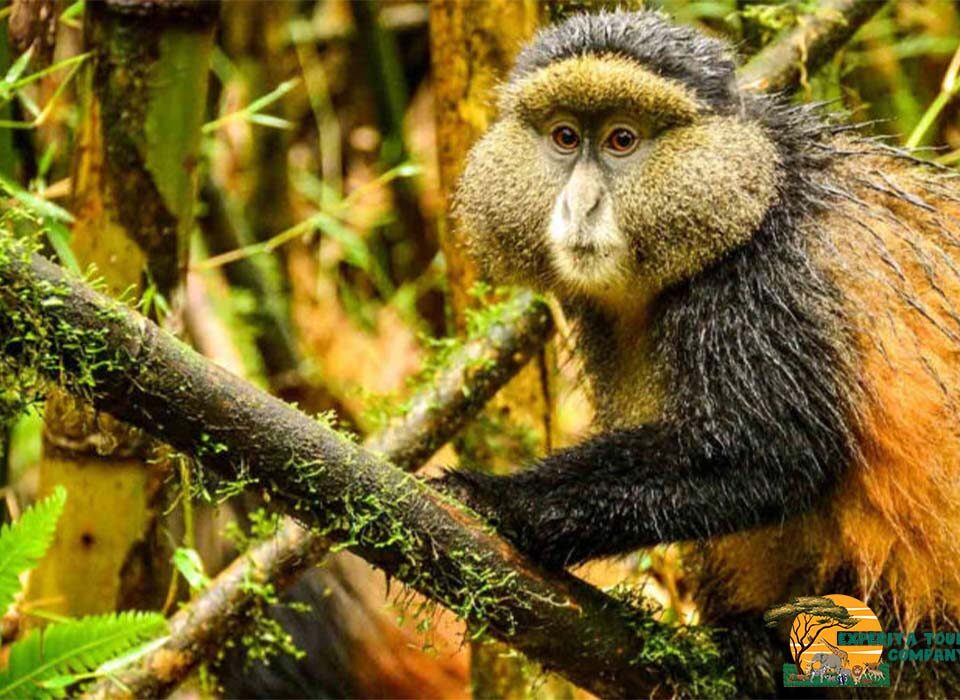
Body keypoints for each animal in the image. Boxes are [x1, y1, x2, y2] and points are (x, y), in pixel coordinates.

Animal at [439, 9, 960, 696]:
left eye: (622, 140)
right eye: (564, 137)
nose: (581, 205)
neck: (757, 189)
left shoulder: (763, 283)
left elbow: (772, 451)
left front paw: (498, 500)